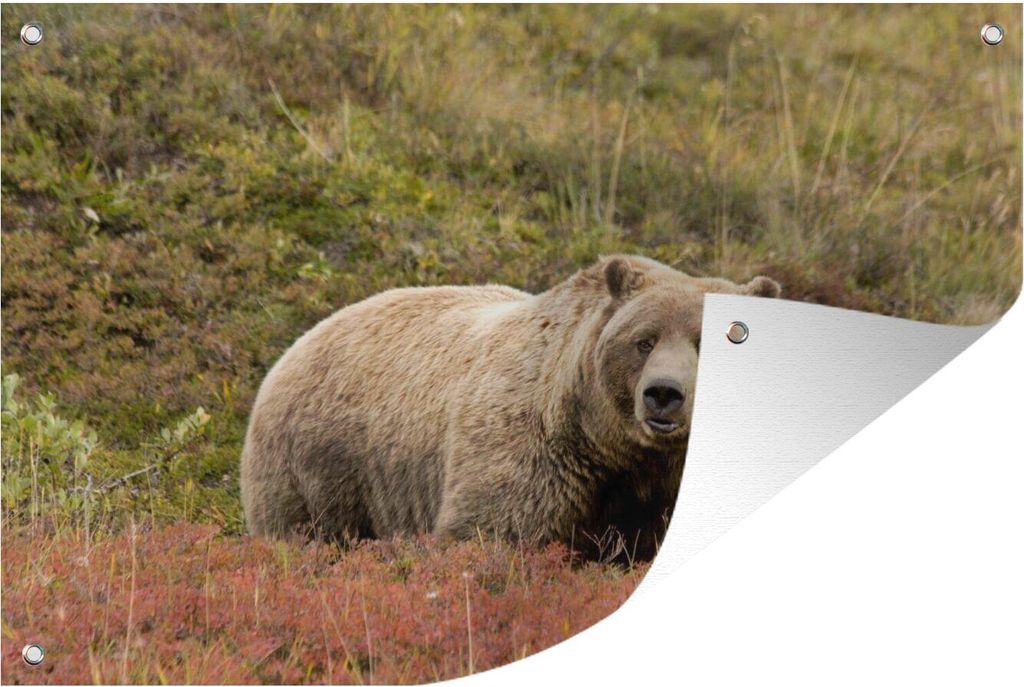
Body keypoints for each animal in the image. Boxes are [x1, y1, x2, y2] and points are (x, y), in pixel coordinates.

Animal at [240, 255, 780, 562]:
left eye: (711, 342)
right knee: (305, 533)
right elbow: (497, 531)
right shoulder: (532, 450)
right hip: (321, 463)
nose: (663, 394)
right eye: (643, 341)